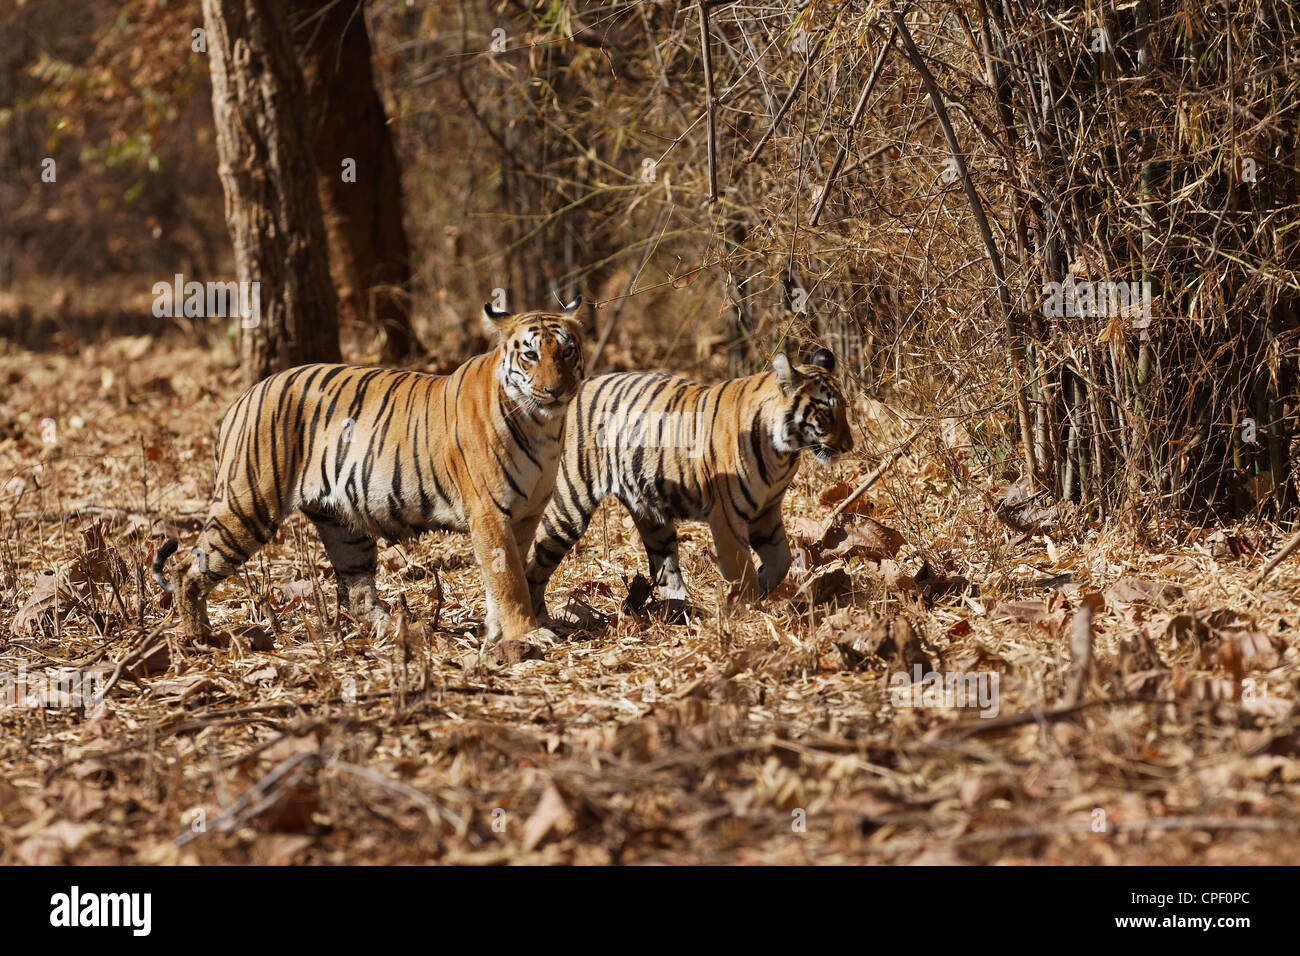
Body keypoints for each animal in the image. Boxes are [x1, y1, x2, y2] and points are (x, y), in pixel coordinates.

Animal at [154, 297, 587, 642]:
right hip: (248, 506)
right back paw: (200, 637)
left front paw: (499, 630)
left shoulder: (526, 514)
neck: (543, 425)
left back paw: (400, 629)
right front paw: (527, 634)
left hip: (342, 526)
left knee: (358, 595)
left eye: (567, 352)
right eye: (530, 355)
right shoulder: (489, 513)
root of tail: (244, 396)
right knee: (187, 569)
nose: (556, 391)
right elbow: (509, 577)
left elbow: (507, 574)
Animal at [522, 348, 857, 616]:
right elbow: (741, 566)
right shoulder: (727, 517)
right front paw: (748, 608)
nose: (848, 446)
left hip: (652, 517)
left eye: (844, 407)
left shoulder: (766, 512)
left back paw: (681, 608)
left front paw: (763, 586)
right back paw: (541, 623)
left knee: (665, 569)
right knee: (535, 566)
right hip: (569, 507)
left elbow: (782, 560)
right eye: (826, 412)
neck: (784, 453)